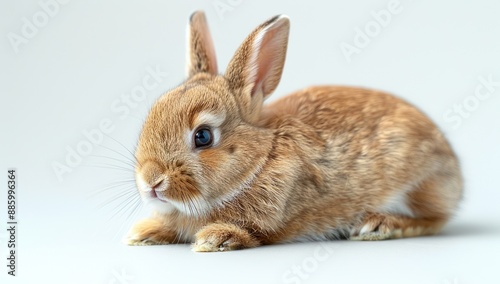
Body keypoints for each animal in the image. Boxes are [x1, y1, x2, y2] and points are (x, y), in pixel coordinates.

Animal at [125, 11, 460, 252]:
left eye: (203, 136)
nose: (151, 181)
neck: (259, 160)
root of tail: (454, 168)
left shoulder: (271, 222)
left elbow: (254, 233)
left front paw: (215, 238)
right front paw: (144, 233)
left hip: (418, 183)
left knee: (434, 220)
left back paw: (378, 225)